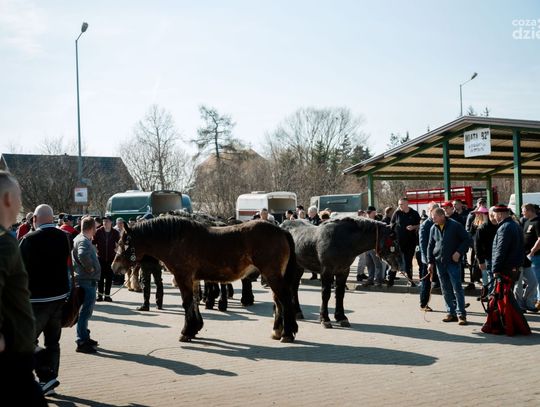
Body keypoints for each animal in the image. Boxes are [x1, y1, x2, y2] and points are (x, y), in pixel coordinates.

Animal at [112, 216, 299, 342]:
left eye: (123, 243)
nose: (114, 267)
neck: (176, 239)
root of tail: (281, 230)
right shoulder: (193, 279)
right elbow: (194, 301)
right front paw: (195, 328)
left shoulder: (183, 277)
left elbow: (187, 302)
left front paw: (186, 332)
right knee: (278, 301)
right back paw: (278, 331)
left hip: (272, 275)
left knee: (284, 300)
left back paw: (287, 334)